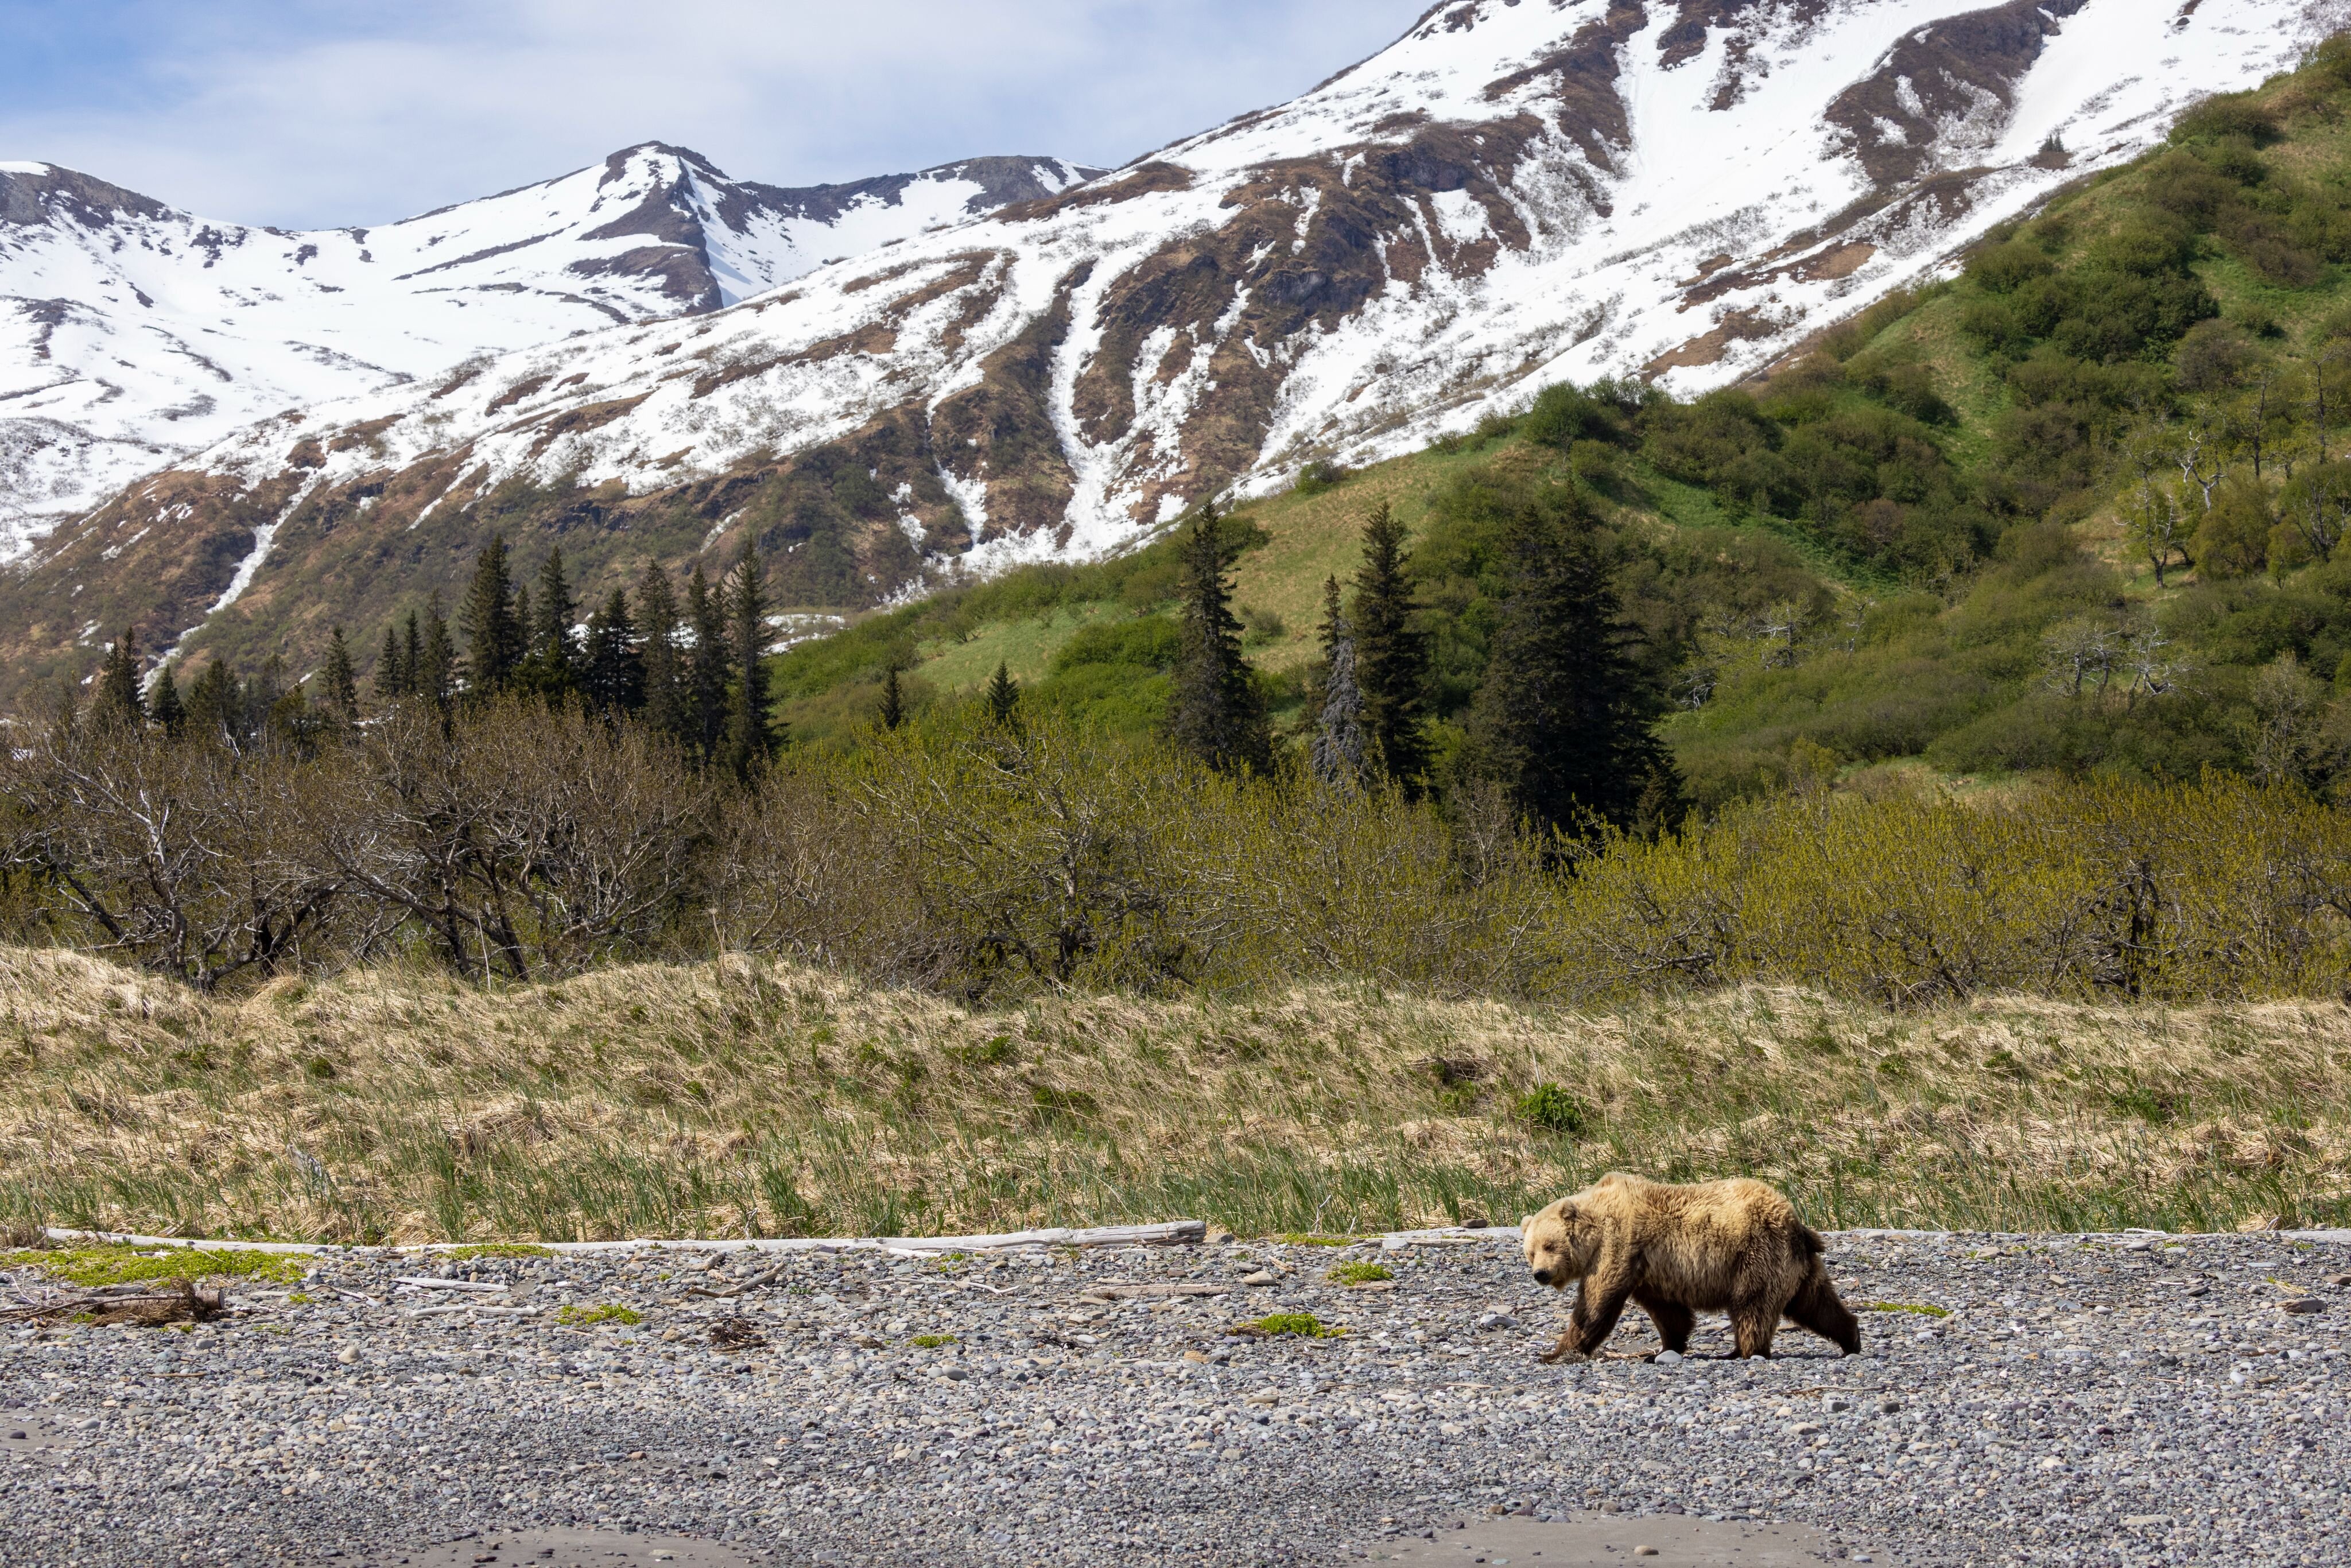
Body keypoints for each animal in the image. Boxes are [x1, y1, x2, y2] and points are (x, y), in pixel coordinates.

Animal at [1514, 1175, 1862, 1363]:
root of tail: (1794, 1220)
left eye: (1549, 1245)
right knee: (1816, 1302)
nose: (1540, 1274)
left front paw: (1556, 1353)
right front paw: (1662, 1350)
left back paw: (1743, 1351)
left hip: (1756, 1255)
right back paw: (1851, 1339)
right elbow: (1670, 1314)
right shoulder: (1650, 1271)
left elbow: (1596, 1304)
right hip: (1797, 1264)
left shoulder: (1618, 1246)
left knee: (1753, 1306)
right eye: (1530, 1253)